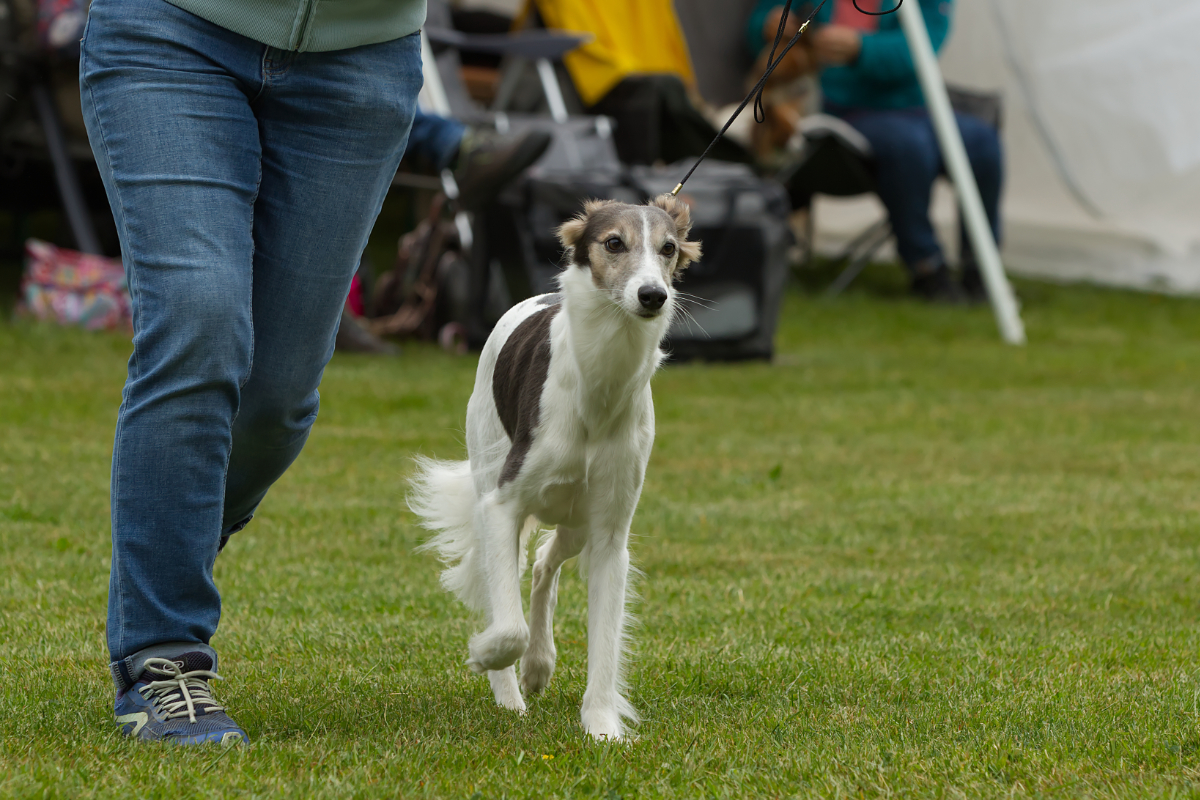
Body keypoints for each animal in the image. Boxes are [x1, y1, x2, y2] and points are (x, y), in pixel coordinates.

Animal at [409, 194, 701, 740]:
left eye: (669, 248)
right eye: (614, 242)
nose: (652, 295)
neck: (596, 393)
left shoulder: (610, 534)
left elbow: (604, 641)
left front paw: (602, 727)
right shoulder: (501, 505)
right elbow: (508, 626)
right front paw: (486, 655)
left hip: (576, 518)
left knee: (546, 562)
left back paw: (539, 664)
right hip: (492, 473)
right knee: (512, 582)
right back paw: (510, 696)